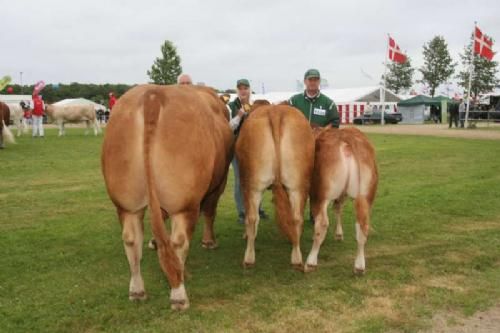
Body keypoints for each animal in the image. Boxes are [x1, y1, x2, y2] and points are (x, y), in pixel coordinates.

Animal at [103, 84, 234, 310]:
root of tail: (153, 95)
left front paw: (154, 243)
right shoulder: (219, 183)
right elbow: (210, 211)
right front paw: (209, 242)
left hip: (126, 203)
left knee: (131, 239)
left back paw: (137, 290)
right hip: (184, 203)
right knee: (178, 240)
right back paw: (179, 293)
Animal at [236, 104, 314, 268]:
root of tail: (275, 111)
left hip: (251, 184)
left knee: (252, 217)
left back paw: (249, 258)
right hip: (298, 185)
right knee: (297, 217)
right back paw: (296, 257)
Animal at [302, 126, 376, 274]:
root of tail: (346, 138)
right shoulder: (342, 194)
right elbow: (338, 208)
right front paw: (339, 234)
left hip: (320, 193)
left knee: (322, 223)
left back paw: (311, 261)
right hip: (365, 195)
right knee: (362, 226)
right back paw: (359, 266)